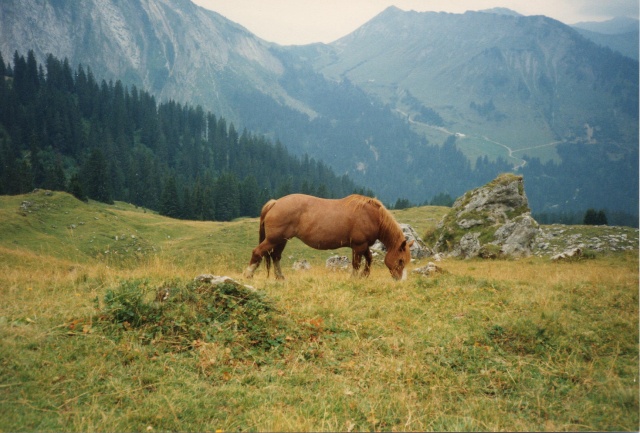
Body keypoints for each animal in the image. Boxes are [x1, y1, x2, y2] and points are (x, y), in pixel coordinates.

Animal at [242, 193, 412, 280]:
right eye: (400, 260)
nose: (399, 279)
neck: (372, 215)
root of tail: (275, 203)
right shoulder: (358, 246)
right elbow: (357, 264)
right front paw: (354, 279)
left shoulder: (362, 246)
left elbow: (369, 259)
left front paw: (364, 276)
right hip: (273, 239)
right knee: (257, 252)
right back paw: (249, 275)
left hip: (281, 241)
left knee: (276, 257)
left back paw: (280, 278)